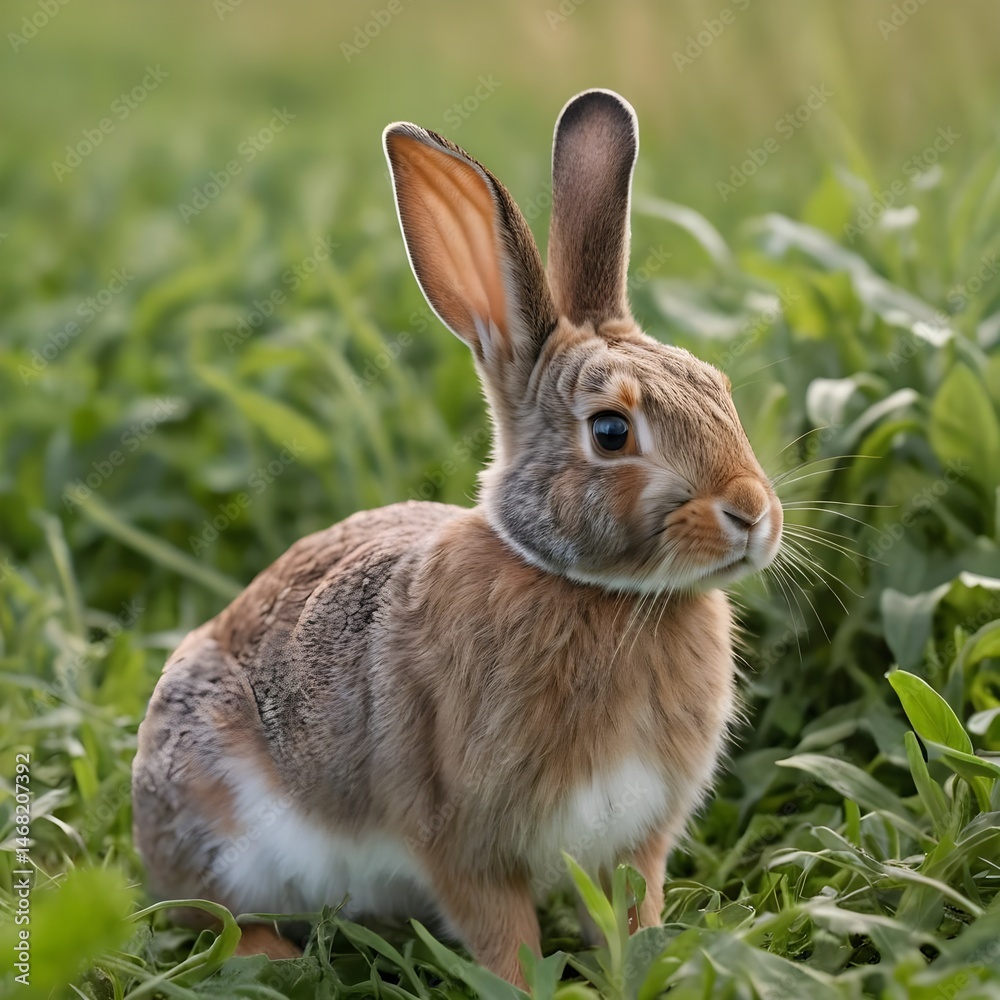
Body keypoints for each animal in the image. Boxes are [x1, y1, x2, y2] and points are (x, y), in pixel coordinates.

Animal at [131, 88, 783, 986]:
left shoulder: (632, 836)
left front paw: (645, 964)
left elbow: (630, 912)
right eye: (611, 432)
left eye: (718, 389)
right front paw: (528, 987)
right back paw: (278, 958)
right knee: (209, 918)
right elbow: (502, 933)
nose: (752, 512)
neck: (591, 589)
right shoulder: (463, 838)